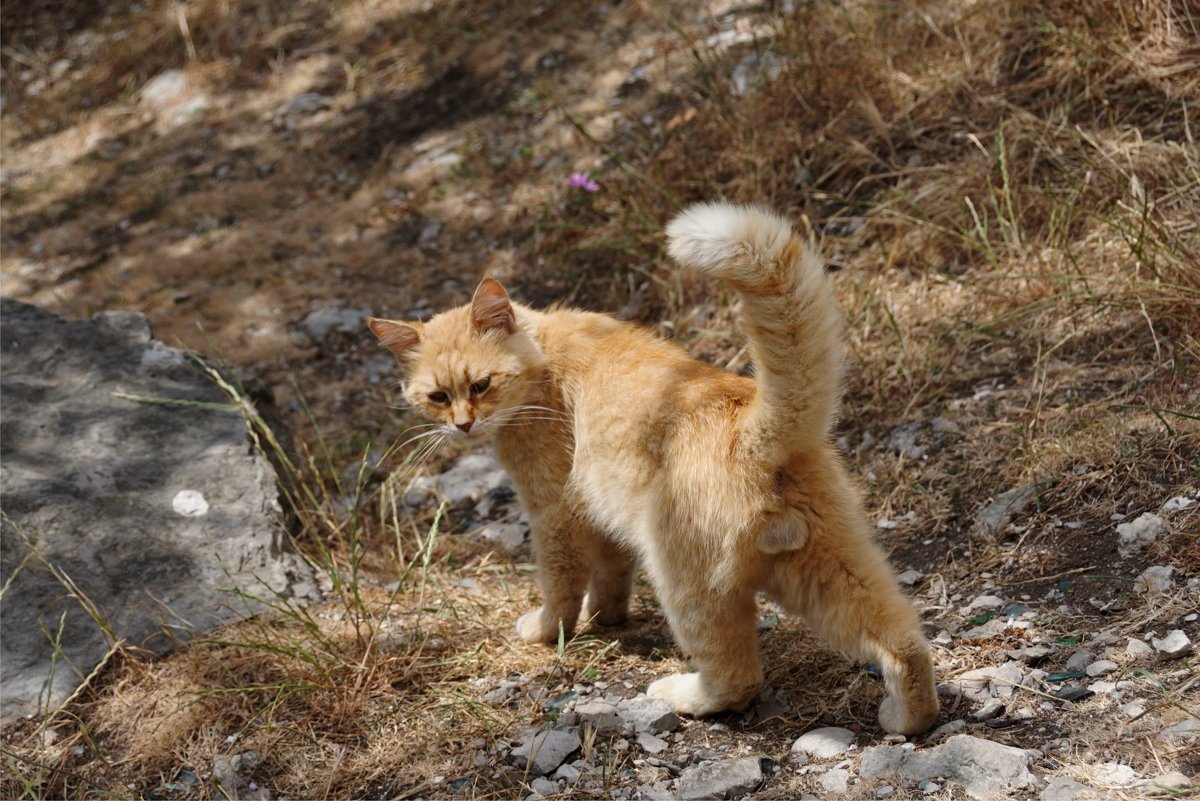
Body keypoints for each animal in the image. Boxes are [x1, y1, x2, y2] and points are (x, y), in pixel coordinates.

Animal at [369, 200, 940, 733]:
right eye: (438, 397)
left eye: (481, 384)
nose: (463, 425)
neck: (542, 354)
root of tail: (754, 427)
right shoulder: (599, 512)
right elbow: (610, 572)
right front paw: (606, 617)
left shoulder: (553, 512)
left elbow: (560, 586)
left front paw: (549, 629)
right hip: (834, 573)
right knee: (905, 642)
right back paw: (908, 718)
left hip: (685, 583)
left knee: (738, 677)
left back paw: (679, 695)